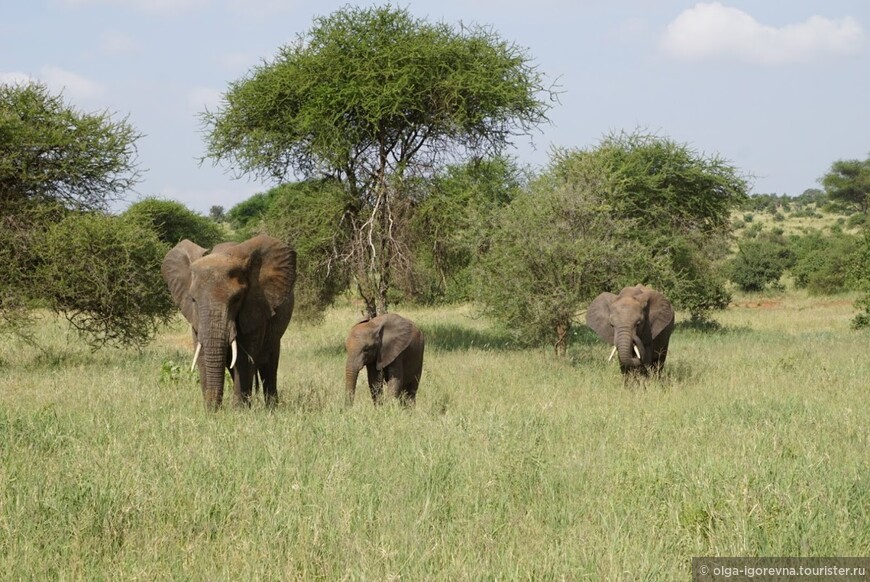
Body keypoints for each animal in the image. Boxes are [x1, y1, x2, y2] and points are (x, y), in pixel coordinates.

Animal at [162, 236, 298, 410]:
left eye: (237, 299)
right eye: (193, 300)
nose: (217, 409)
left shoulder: (254, 309)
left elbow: (244, 359)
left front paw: (239, 411)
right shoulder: (196, 321)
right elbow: (202, 356)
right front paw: (211, 412)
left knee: (269, 364)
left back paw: (271, 409)